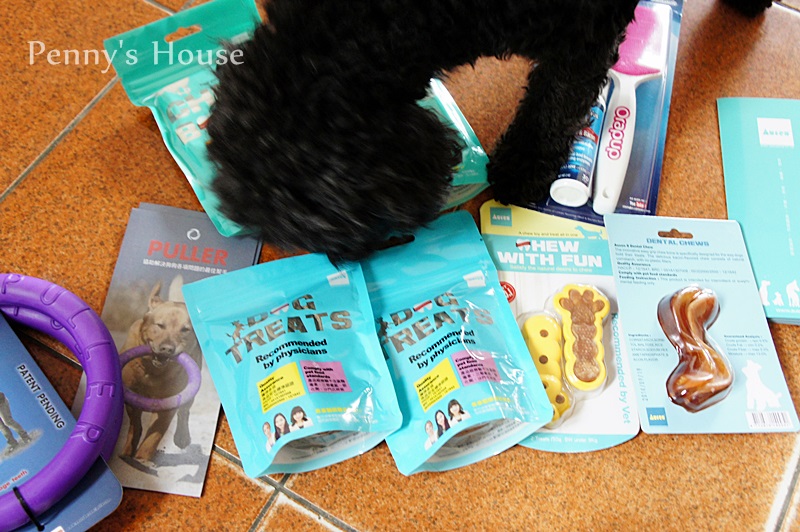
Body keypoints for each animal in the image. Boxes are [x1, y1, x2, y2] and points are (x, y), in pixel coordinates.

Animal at [120, 276, 202, 464]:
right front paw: (129, 451)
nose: (167, 349)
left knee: (184, 412)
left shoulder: (169, 404)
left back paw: (181, 438)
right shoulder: (132, 394)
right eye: (160, 325)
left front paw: (142, 458)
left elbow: (155, 434)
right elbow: (135, 425)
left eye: (185, 329)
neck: (153, 371)